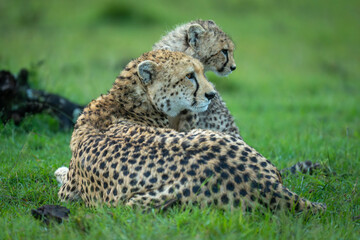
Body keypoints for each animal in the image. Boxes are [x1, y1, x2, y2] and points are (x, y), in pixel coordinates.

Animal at [59, 49, 326, 213]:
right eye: (189, 76)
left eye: (201, 72)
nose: (212, 94)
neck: (127, 101)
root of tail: (268, 188)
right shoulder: (67, 194)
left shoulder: (68, 194)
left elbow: (60, 173)